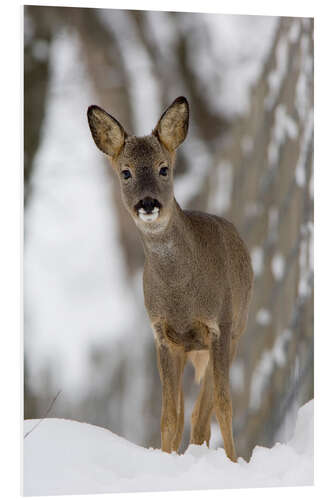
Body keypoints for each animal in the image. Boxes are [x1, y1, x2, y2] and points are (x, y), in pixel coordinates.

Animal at [87, 96, 253, 460]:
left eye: (164, 168)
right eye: (126, 172)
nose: (148, 203)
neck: (181, 295)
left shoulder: (220, 326)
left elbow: (224, 407)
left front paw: (234, 461)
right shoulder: (162, 335)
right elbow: (168, 417)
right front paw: (166, 460)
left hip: (237, 329)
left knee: (203, 415)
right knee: (188, 415)